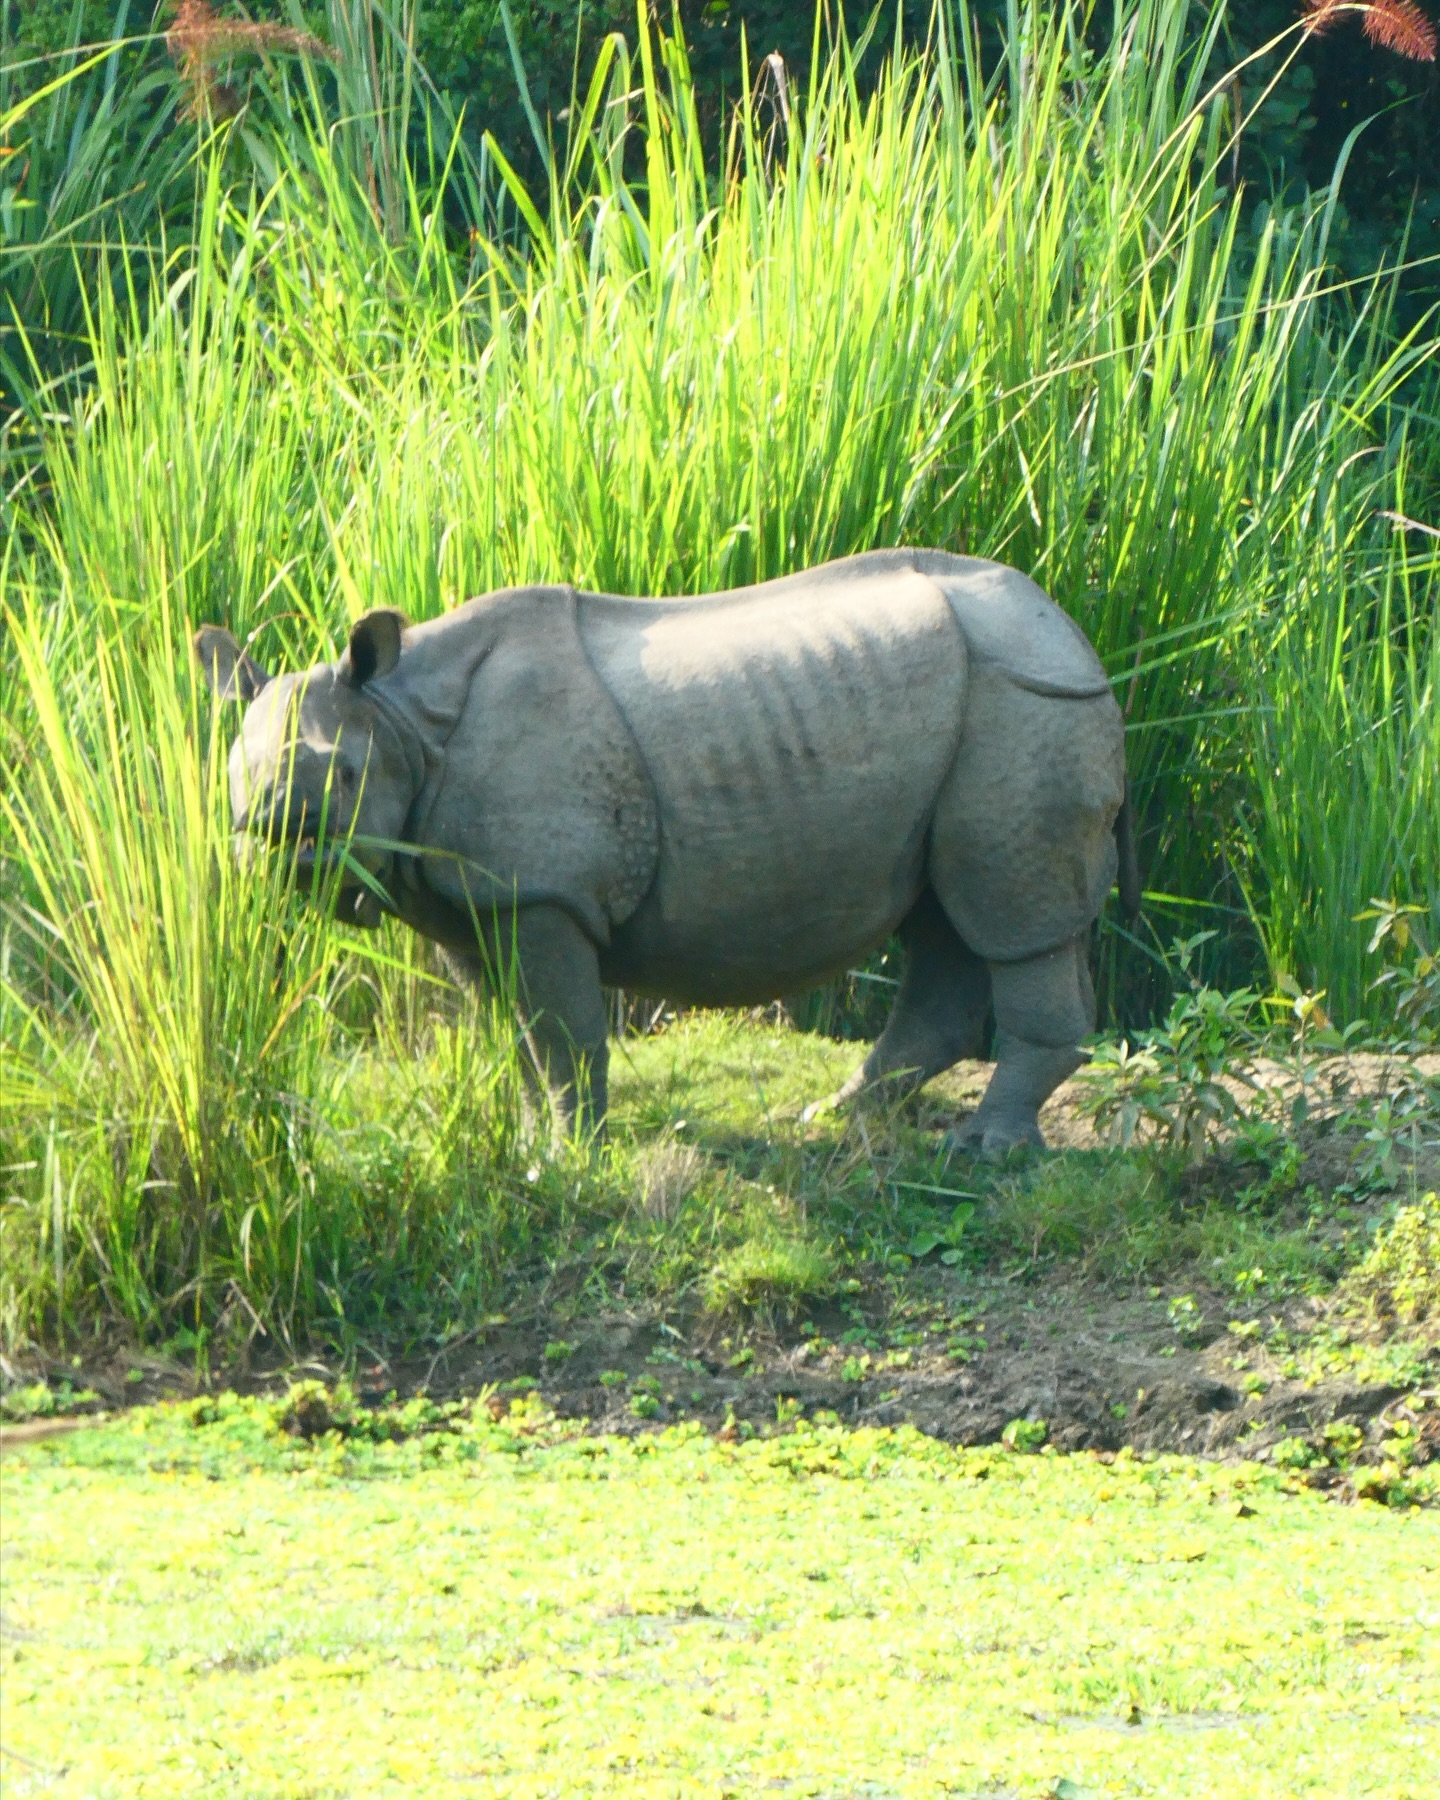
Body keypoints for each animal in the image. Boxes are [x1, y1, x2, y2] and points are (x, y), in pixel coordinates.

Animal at [195, 548, 1138, 1152]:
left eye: (348, 778)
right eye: (230, 788)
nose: (279, 844)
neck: (402, 717)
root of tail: (1079, 639)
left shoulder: (538, 890)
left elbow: (560, 1034)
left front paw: (570, 1158)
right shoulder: (467, 896)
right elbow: (517, 1037)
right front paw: (537, 1146)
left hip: (1026, 700)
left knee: (1012, 917)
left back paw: (983, 1152)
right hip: (984, 708)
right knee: (943, 919)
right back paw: (837, 1116)